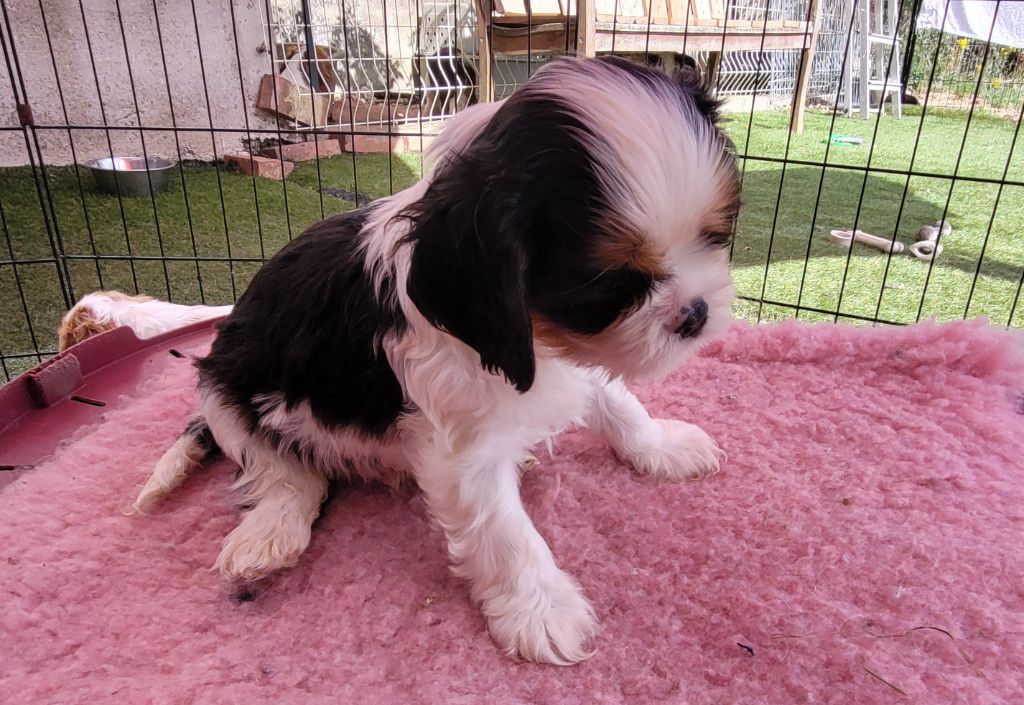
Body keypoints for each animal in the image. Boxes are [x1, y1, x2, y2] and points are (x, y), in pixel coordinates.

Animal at [133, 56, 740, 665]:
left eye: (714, 236)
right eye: (610, 285)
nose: (695, 314)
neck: (536, 337)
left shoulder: (576, 360)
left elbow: (616, 401)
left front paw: (660, 445)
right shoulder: (464, 445)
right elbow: (504, 530)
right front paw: (542, 610)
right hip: (226, 386)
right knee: (279, 468)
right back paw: (268, 534)